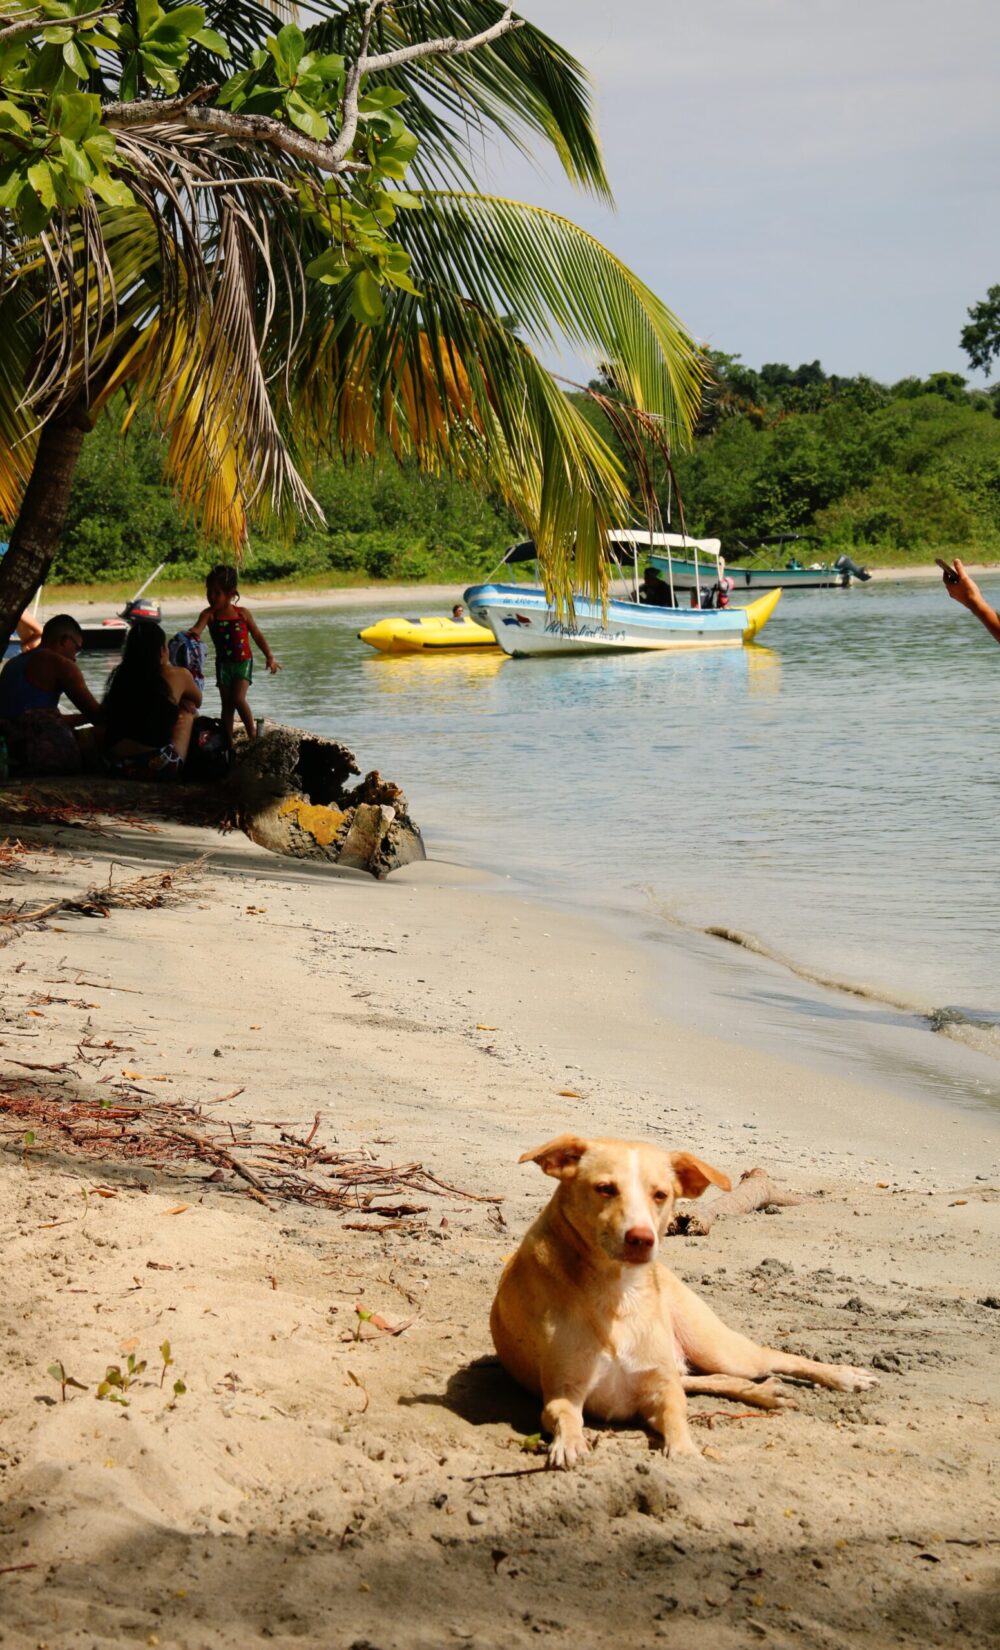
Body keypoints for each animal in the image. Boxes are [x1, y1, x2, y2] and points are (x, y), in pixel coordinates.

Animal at [491, 1135, 877, 1471]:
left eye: (661, 1195)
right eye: (605, 1189)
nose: (641, 1239)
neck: (620, 1294)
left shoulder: (661, 1389)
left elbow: (678, 1417)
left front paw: (685, 1451)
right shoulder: (564, 1391)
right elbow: (566, 1417)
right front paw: (570, 1444)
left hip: (718, 1348)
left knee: (773, 1358)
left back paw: (843, 1376)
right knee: (714, 1379)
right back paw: (767, 1393)